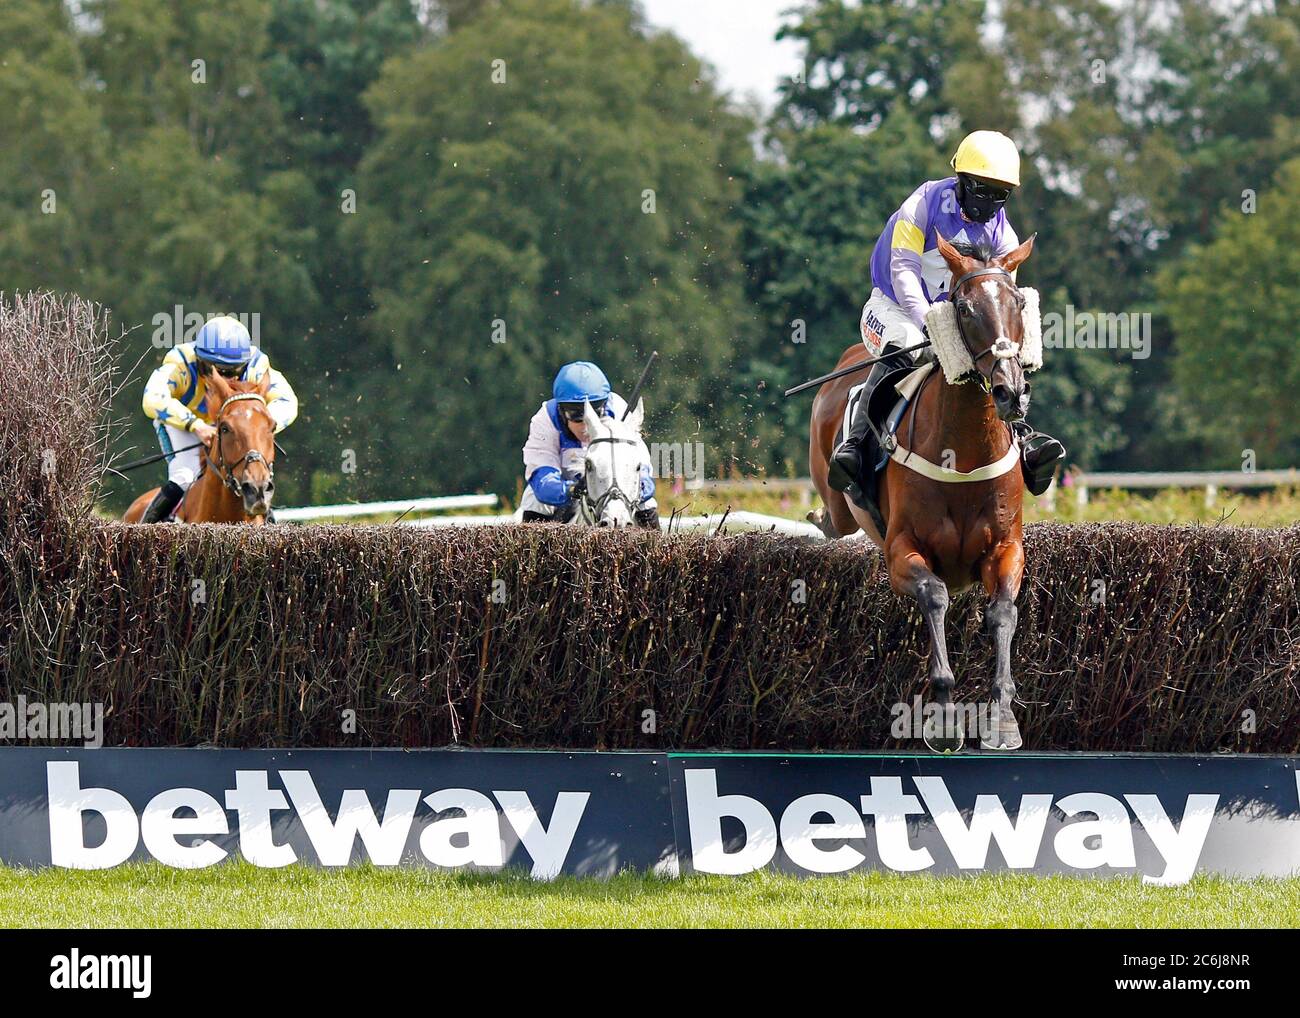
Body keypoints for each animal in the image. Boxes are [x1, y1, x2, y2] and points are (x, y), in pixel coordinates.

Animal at [811, 235, 1034, 754]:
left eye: (1018, 302)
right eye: (966, 308)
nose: (1010, 392)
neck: (964, 456)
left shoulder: (1005, 548)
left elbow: (1003, 612)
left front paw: (1002, 717)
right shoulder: (900, 550)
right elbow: (934, 595)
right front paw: (946, 715)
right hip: (838, 497)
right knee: (835, 519)